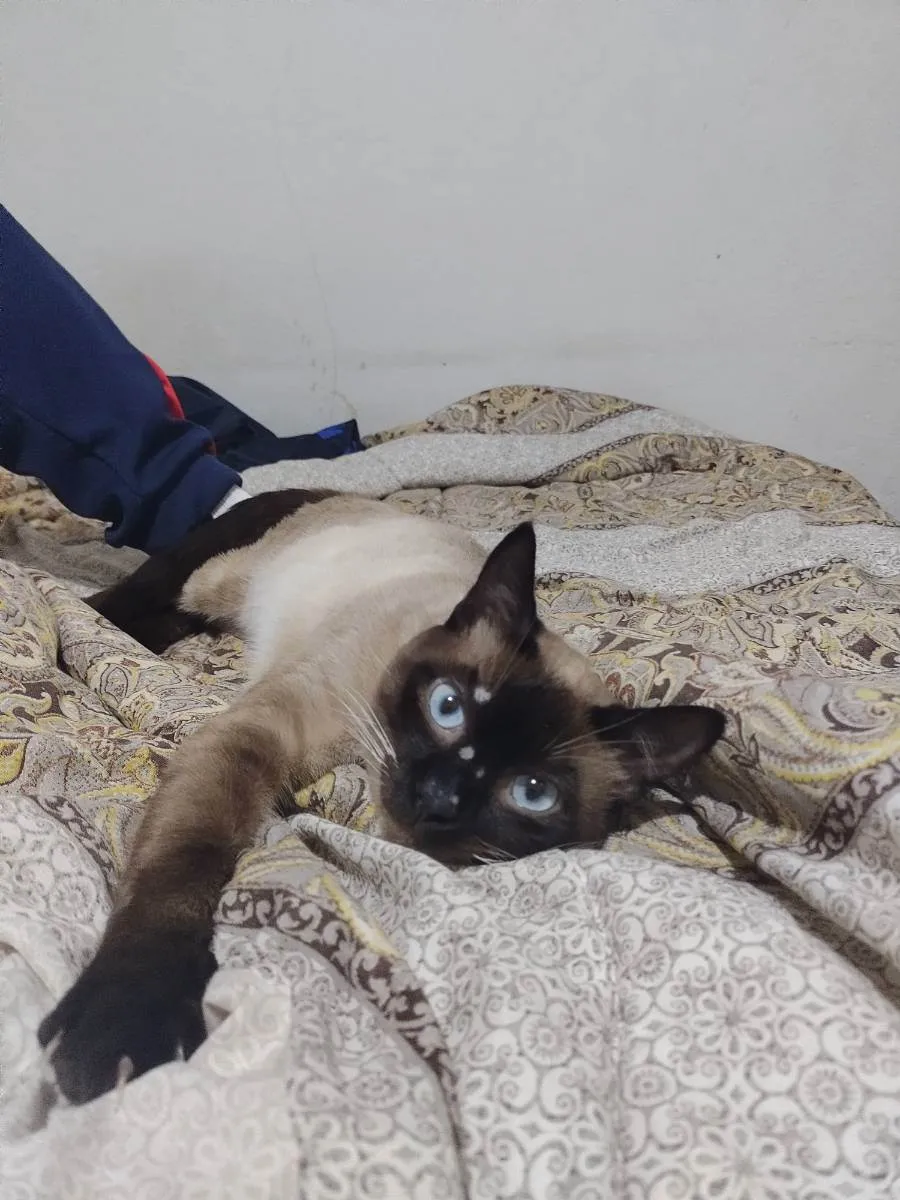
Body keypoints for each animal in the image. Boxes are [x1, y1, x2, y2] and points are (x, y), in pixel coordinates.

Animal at [39, 489, 724, 1103]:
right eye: (447, 706)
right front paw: (121, 1031)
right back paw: (77, 616)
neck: (358, 760)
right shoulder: (254, 737)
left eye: (532, 793)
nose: (439, 796)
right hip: (218, 582)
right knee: (134, 601)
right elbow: (187, 865)